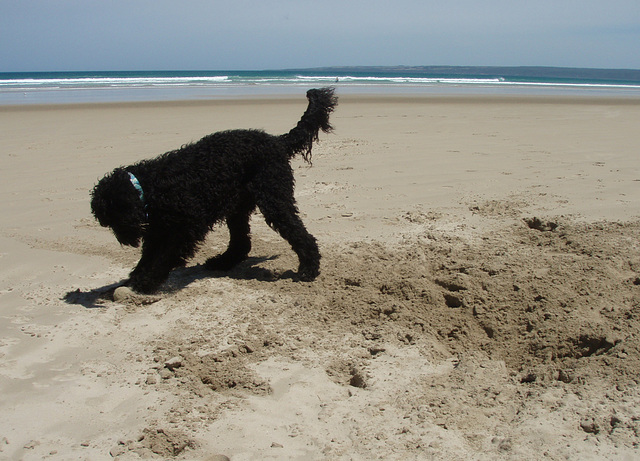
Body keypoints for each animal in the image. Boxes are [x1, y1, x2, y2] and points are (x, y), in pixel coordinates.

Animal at [93, 88, 340, 292]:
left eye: (114, 220)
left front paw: (146, 282)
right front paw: (132, 280)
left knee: (301, 235)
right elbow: (147, 258)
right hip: (238, 206)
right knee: (241, 243)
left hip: (274, 199)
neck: (150, 186)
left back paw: (308, 269)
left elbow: (163, 258)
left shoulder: (185, 228)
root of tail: (276, 141)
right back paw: (223, 262)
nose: (124, 241)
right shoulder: (159, 230)